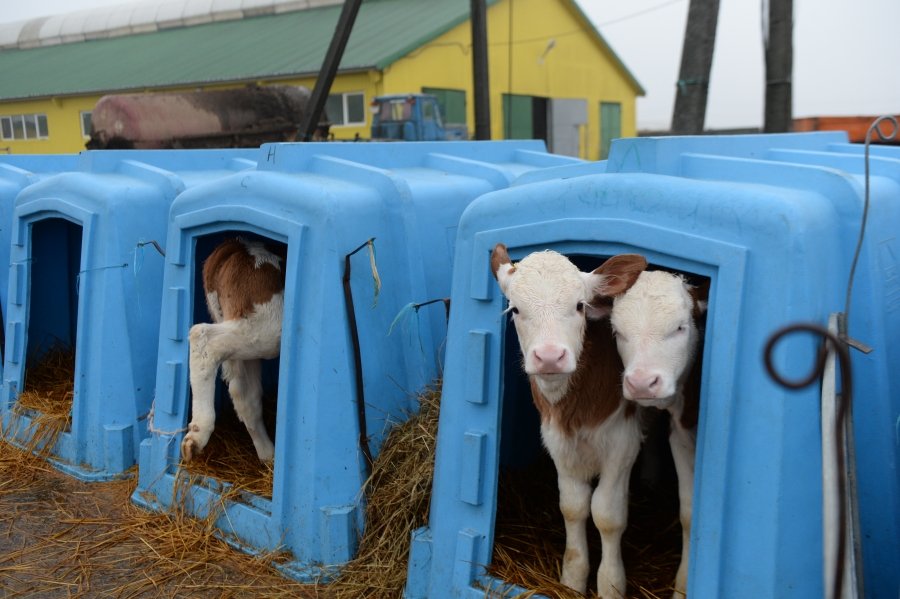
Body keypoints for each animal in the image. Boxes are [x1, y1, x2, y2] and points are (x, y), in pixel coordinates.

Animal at [184, 232, 292, 500]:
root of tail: (236, 244)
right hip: (268, 327)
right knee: (203, 338)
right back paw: (199, 433)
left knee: (244, 394)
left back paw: (269, 456)